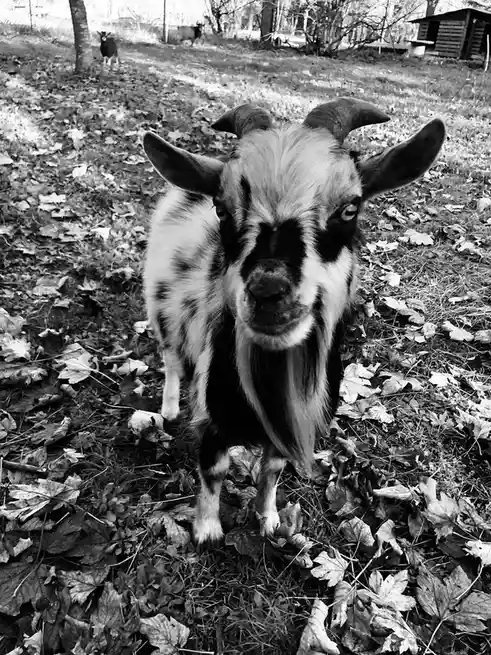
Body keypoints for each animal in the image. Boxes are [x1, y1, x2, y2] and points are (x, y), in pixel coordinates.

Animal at [142, 99, 445, 545]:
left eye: (350, 207)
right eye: (221, 209)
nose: (268, 291)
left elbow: (271, 470)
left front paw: (268, 519)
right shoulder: (214, 416)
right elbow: (213, 470)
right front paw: (207, 530)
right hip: (160, 309)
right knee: (170, 358)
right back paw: (167, 409)